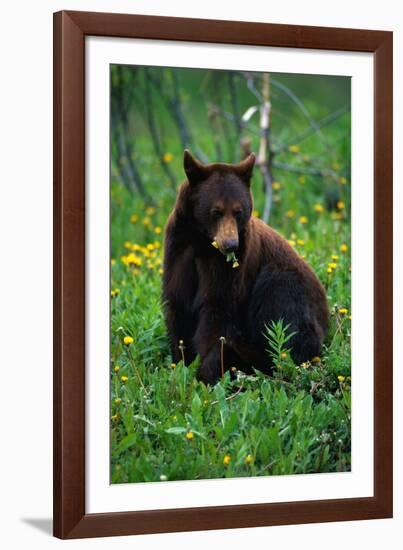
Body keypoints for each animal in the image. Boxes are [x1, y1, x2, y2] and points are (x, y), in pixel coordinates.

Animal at [163, 149, 330, 386]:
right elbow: (179, 306)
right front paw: (181, 364)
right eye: (216, 211)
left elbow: (218, 310)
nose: (231, 244)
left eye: (238, 211)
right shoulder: (178, 251)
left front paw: (207, 370)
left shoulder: (231, 267)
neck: (202, 243)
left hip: (283, 282)